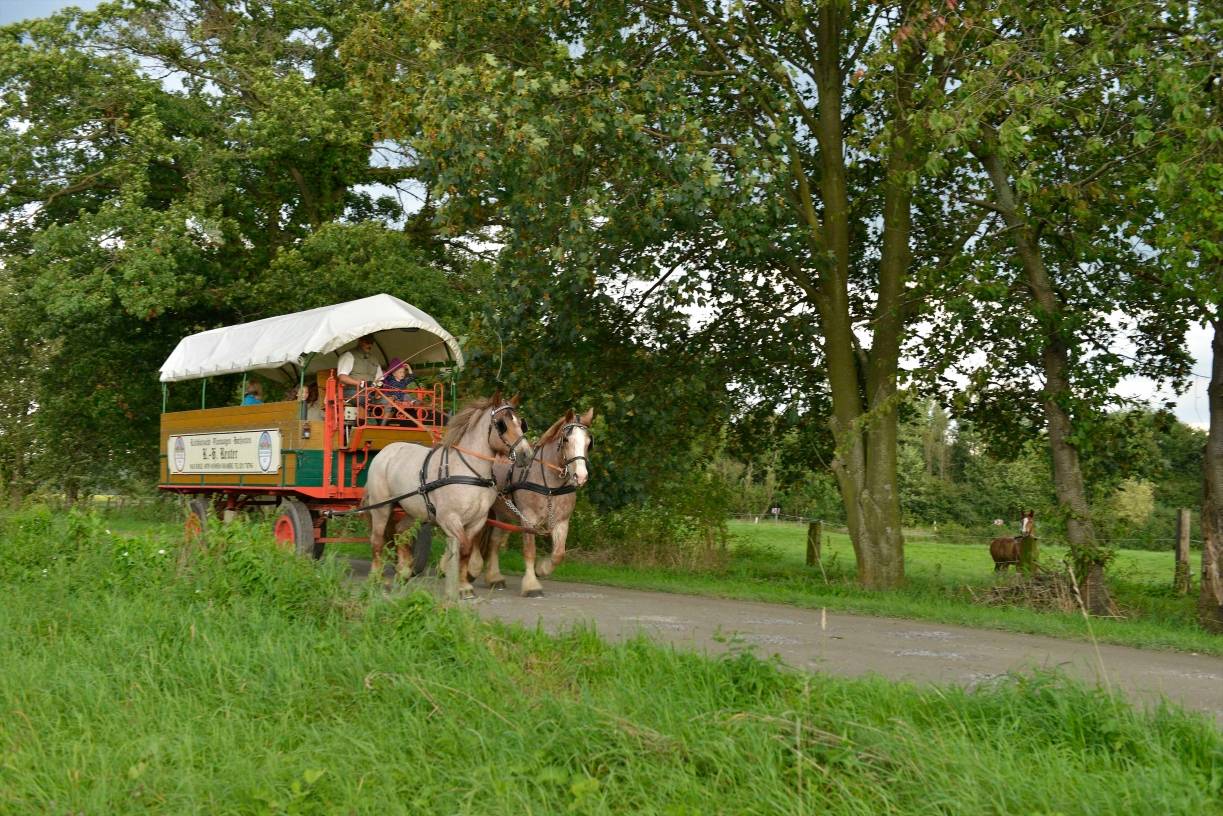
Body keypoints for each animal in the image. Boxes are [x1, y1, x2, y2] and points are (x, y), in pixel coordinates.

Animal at [364, 391, 533, 599]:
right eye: (502, 424)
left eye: (521, 423)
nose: (526, 455)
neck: (469, 471)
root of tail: (385, 452)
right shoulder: (449, 518)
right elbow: (463, 547)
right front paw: (460, 584)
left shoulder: (477, 520)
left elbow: (466, 552)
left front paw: (464, 586)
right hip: (381, 507)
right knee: (377, 540)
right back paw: (376, 579)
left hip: (414, 511)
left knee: (400, 531)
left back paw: (403, 572)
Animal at [464, 406, 594, 594]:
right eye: (566, 439)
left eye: (589, 442)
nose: (581, 476)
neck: (550, 484)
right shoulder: (528, 519)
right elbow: (529, 551)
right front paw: (531, 585)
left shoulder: (562, 522)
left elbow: (559, 554)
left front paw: (542, 568)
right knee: (474, 536)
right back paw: (471, 567)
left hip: (503, 513)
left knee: (494, 541)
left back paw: (494, 577)